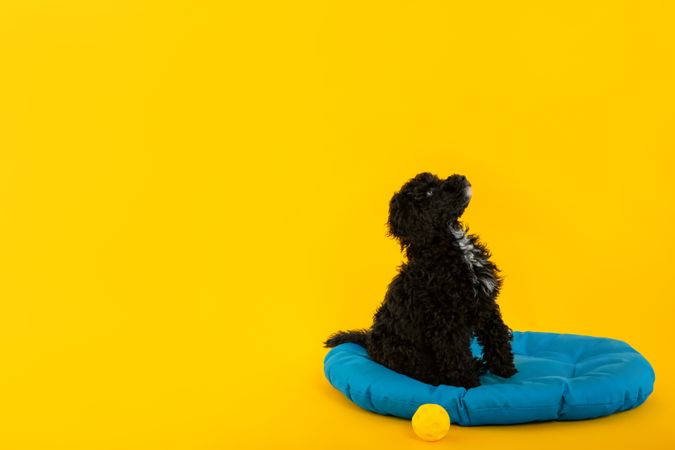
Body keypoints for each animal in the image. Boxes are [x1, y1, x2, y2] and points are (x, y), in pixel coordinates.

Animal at [324, 174, 516, 388]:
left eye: (437, 180)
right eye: (429, 193)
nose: (461, 177)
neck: (449, 243)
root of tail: (369, 342)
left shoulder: (484, 303)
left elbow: (496, 335)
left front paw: (506, 370)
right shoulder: (447, 323)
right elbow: (457, 356)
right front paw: (468, 385)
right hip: (408, 354)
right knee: (424, 373)